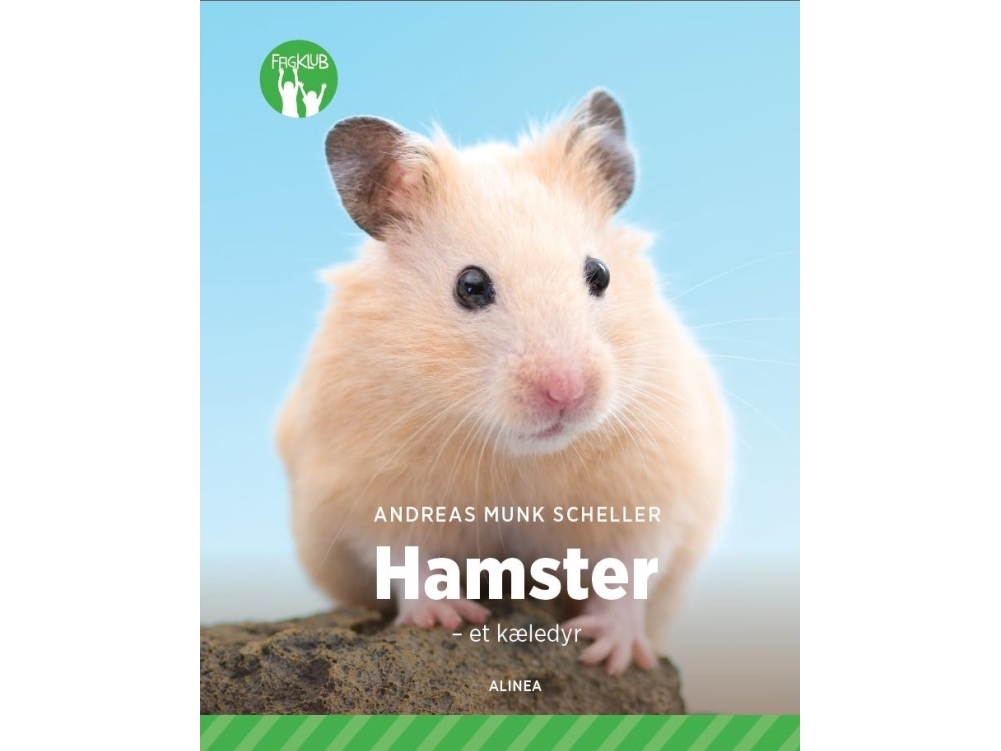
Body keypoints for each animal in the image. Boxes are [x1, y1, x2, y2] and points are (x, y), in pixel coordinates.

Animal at [276, 89, 729, 675]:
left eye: (600, 274)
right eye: (470, 286)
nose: (567, 393)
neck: (518, 454)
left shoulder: (657, 487)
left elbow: (630, 571)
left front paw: (610, 653)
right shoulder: (365, 487)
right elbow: (404, 557)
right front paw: (447, 619)